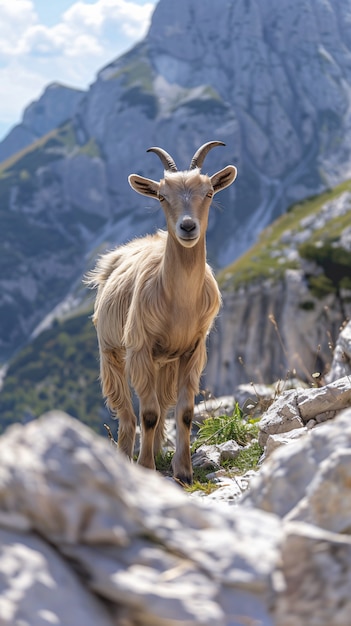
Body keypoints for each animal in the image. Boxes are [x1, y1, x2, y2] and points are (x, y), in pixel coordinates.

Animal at [85, 141, 238, 482]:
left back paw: (155, 452)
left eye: (209, 192)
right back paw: (128, 457)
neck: (178, 304)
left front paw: (184, 471)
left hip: (163, 362)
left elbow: (184, 412)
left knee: (161, 402)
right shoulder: (140, 346)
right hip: (111, 352)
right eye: (161, 196)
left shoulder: (193, 349)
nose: (188, 226)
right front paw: (144, 467)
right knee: (128, 414)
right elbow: (150, 414)